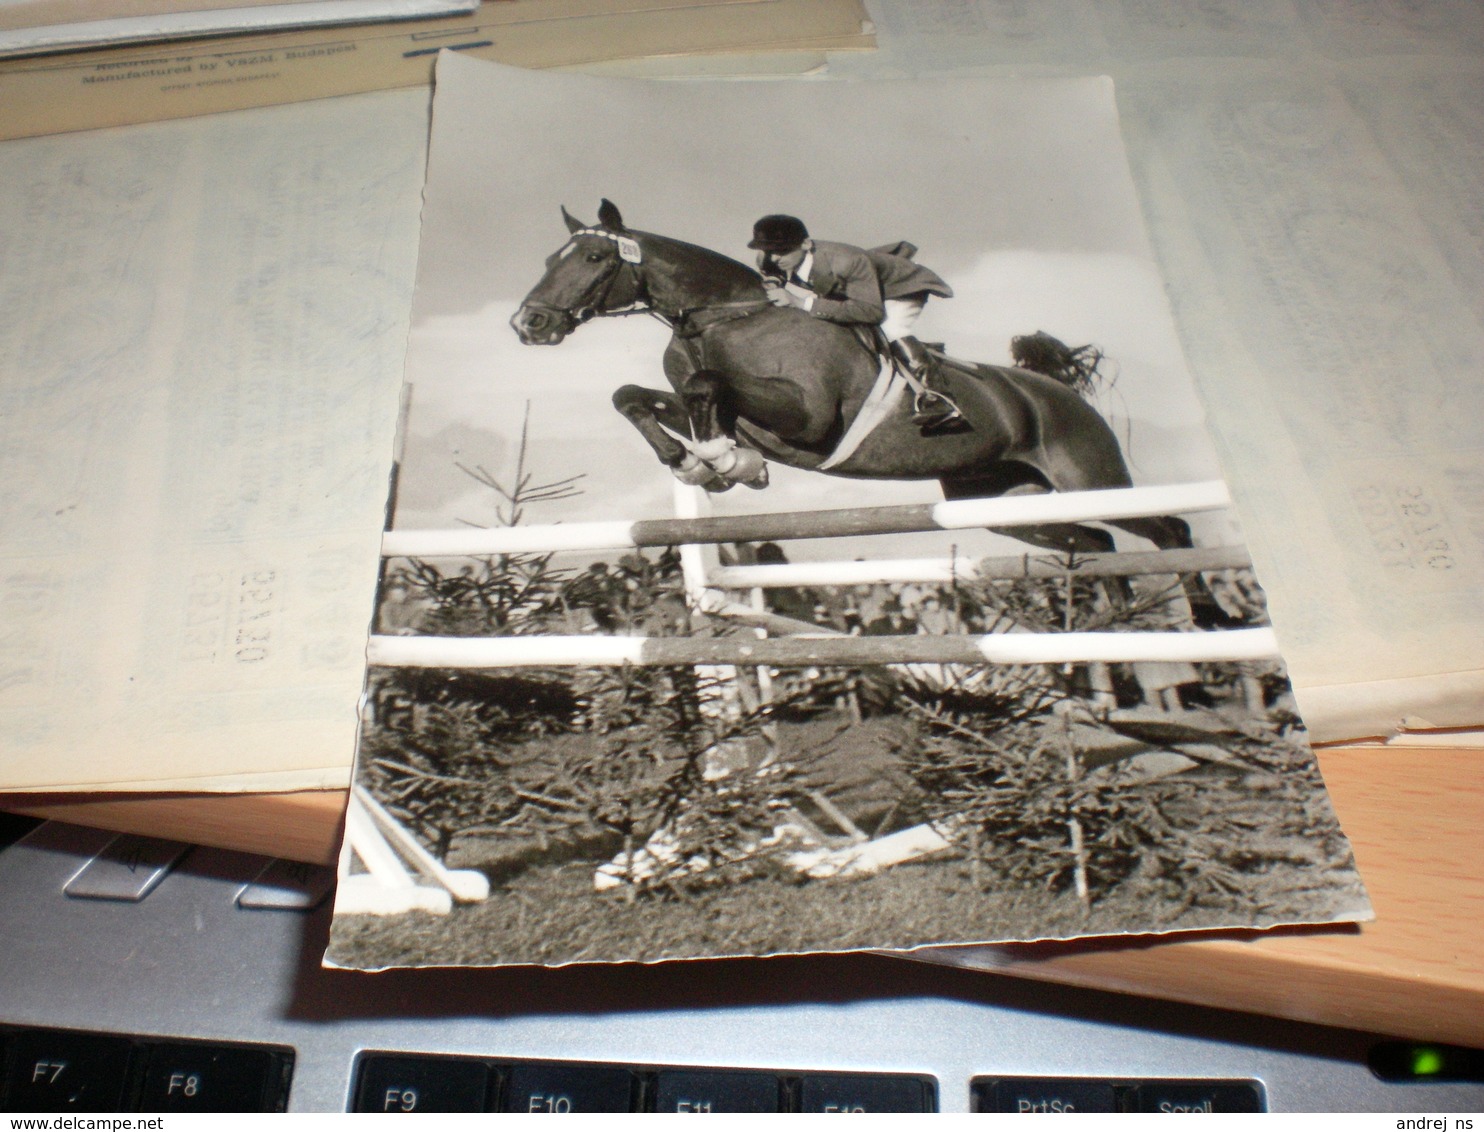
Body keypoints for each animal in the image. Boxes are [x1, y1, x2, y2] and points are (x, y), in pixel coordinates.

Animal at [504, 200, 1199, 566]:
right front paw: (695, 460)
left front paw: (723, 463)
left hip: (1090, 476)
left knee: (1171, 531)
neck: (725, 317)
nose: (527, 323)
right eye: (549, 260)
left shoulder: (808, 417)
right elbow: (635, 396)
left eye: (595, 258)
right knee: (1095, 540)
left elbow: (706, 384)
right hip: (1006, 502)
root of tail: (1053, 391)